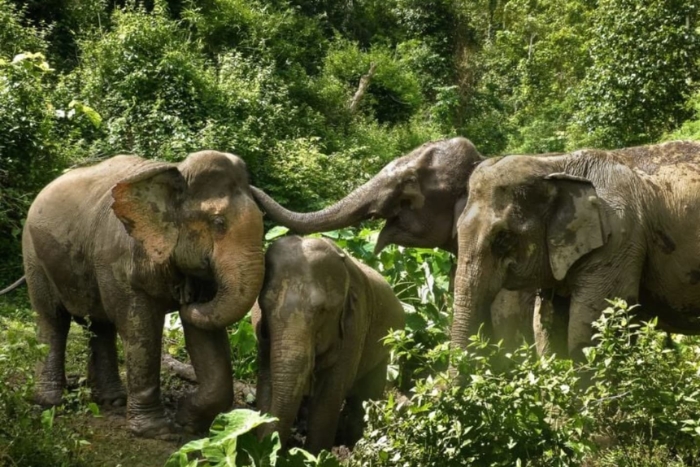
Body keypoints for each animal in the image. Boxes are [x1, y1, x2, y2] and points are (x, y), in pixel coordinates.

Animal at [21, 151, 264, 437]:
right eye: (219, 223)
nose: (185, 299)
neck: (176, 173)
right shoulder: (121, 258)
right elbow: (139, 327)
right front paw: (157, 430)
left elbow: (204, 333)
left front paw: (187, 421)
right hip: (34, 255)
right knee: (53, 319)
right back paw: (50, 402)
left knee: (100, 325)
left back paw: (113, 400)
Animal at [252, 235, 405, 453]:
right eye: (264, 304)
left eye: (322, 310)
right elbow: (267, 382)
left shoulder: (354, 327)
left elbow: (328, 396)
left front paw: (315, 455)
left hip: (384, 347)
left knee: (365, 397)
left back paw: (354, 445)